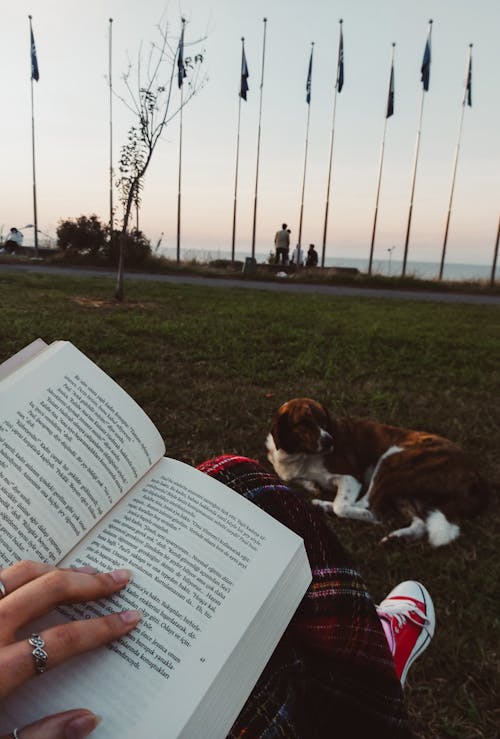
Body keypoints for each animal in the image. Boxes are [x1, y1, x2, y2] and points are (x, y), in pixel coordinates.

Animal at [266, 398, 488, 548]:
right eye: (303, 424)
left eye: (323, 421)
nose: (329, 441)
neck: (300, 455)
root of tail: (474, 472)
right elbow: (301, 481)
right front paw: (311, 486)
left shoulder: (351, 478)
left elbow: (342, 504)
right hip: (405, 491)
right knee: (419, 523)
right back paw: (398, 536)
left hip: (392, 459)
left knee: (369, 506)